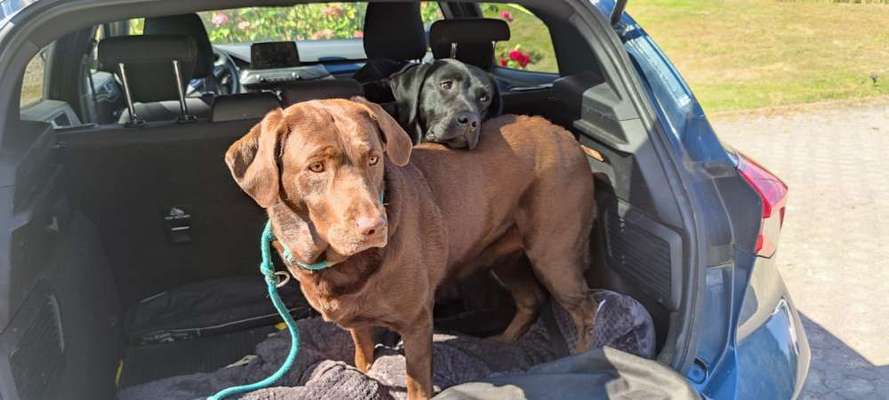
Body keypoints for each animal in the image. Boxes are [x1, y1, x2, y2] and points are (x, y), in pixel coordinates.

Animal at [225, 97, 596, 400]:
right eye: (316, 167)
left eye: (373, 158)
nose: (375, 227)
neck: (338, 263)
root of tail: (564, 134)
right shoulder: (357, 322)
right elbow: (363, 358)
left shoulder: (417, 322)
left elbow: (417, 384)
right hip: (504, 257)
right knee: (530, 299)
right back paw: (501, 345)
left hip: (553, 254)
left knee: (586, 308)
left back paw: (582, 356)